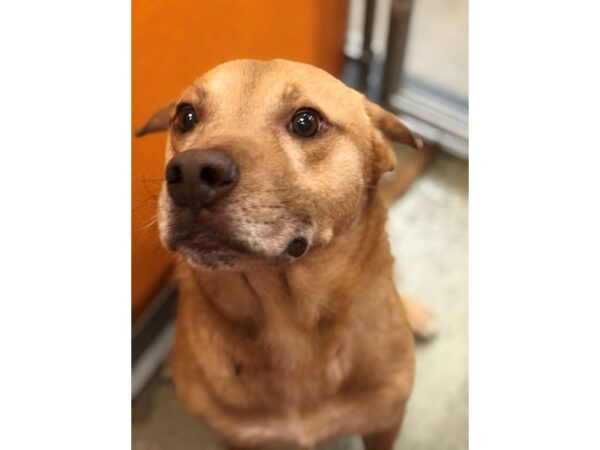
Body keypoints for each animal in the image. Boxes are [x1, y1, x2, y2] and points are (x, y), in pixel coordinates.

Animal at [138, 59, 434, 446]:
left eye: (305, 122)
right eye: (186, 116)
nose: (189, 174)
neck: (289, 321)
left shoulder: (384, 424)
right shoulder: (241, 438)